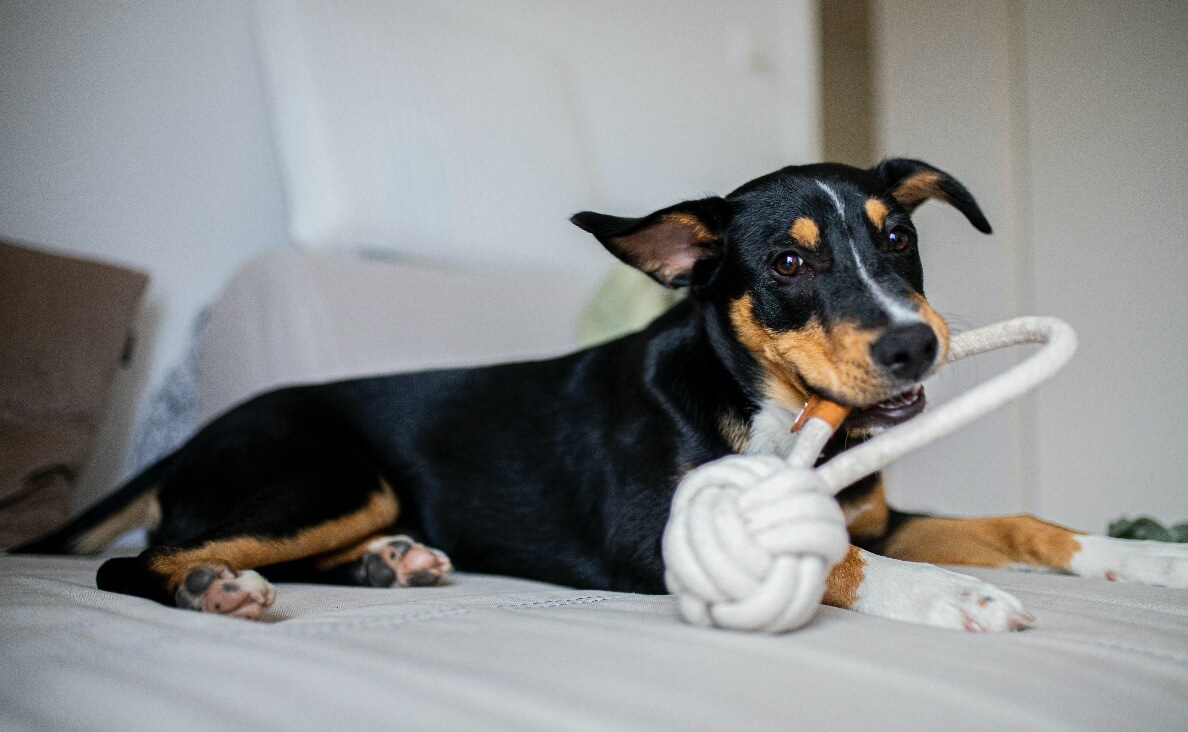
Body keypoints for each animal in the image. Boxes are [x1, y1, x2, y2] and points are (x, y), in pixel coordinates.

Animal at [13, 160, 1183, 627]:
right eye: (789, 264)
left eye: (898, 240)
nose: (914, 345)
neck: (759, 404)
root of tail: (195, 436)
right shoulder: (654, 537)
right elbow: (837, 562)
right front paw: (954, 600)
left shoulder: (881, 515)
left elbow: (1022, 524)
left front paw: (1145, 559)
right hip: (329, 476)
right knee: (141, 560)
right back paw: (217, 588)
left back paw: (392, 565)